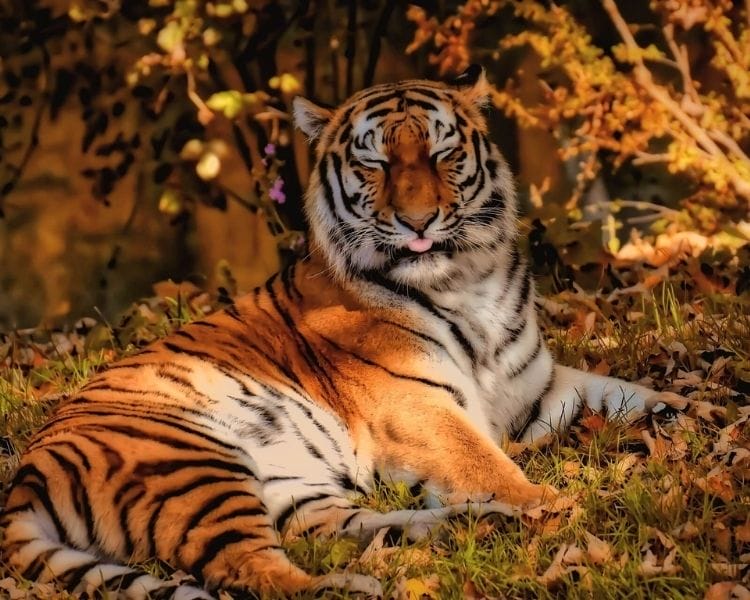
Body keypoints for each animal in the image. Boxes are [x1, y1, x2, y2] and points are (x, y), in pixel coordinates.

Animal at [1, 66, 686, 599]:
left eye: (442, 154)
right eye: (374, 161)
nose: (418, 221)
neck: (470, 280)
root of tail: (26, 475)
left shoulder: (534, 387)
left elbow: (625, 391)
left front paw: (685, 413)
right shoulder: (416, 405)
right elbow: (484, 463)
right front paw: (557, 505)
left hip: (289, 486)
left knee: (341, 529)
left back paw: (465, 530)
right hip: (190, 464)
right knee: (253, 571)